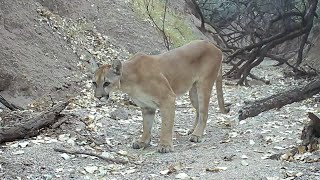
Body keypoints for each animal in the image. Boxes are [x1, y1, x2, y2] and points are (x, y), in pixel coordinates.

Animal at [91, 40, 229, 153]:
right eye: (94, 83)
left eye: (106, 83)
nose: (98, 97)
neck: (129, 82)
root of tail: (215, 47)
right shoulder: (147, 106)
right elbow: (146, 125)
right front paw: (143, 142)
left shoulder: (168, 98)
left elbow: (166, 125)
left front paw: (165, 145)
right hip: (193, 91)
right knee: (198, 110)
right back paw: (192, 130)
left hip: (204, 84)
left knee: (204, 112)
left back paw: (197, 135)